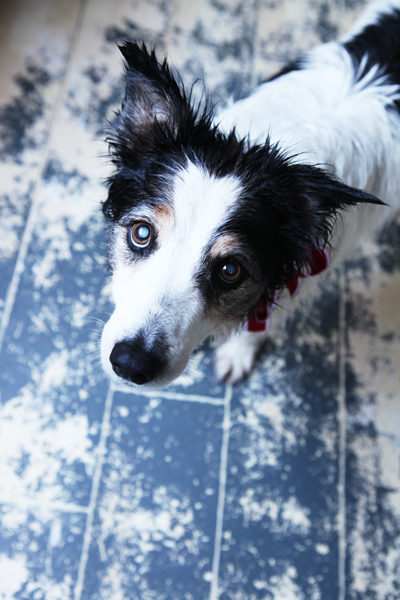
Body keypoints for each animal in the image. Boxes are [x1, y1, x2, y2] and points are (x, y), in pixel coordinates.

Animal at [99, 0, 400, 390]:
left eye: (230, 270)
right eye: (141, 233)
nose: (130, 364)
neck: (273, 149)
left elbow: (259, 325)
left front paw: (237, 352)